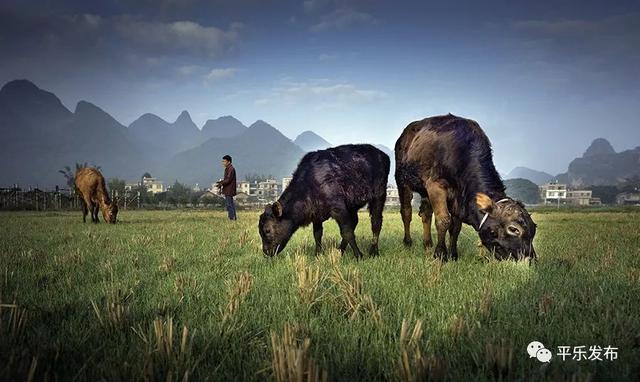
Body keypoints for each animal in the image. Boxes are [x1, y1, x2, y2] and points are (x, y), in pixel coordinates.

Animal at [258, 144, 390, 260]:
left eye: (267, 230)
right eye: (260, 231)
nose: (266, 252)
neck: (310, 184)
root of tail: (382, 155)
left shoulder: (339, 209)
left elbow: (347, 232)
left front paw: (358, 255)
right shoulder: (316, 214)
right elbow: (317, 234)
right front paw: (318, 254)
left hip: (379, 194)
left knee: (376, 222)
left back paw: (374, 251)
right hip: (353, 206)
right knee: (355, 221)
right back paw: (340, 251)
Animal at [396, 113, 536, 262]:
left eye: (534, 228)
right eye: (514, 229)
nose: (530, 259)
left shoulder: (457, 198)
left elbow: (456, 227)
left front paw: (453, 254)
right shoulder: (436, 185)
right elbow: (443, 220)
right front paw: (440, 254)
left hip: (424, 190)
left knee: (426, 213)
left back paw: (427, 243)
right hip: (402, 179)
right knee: (406, 212)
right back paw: (408, 242)